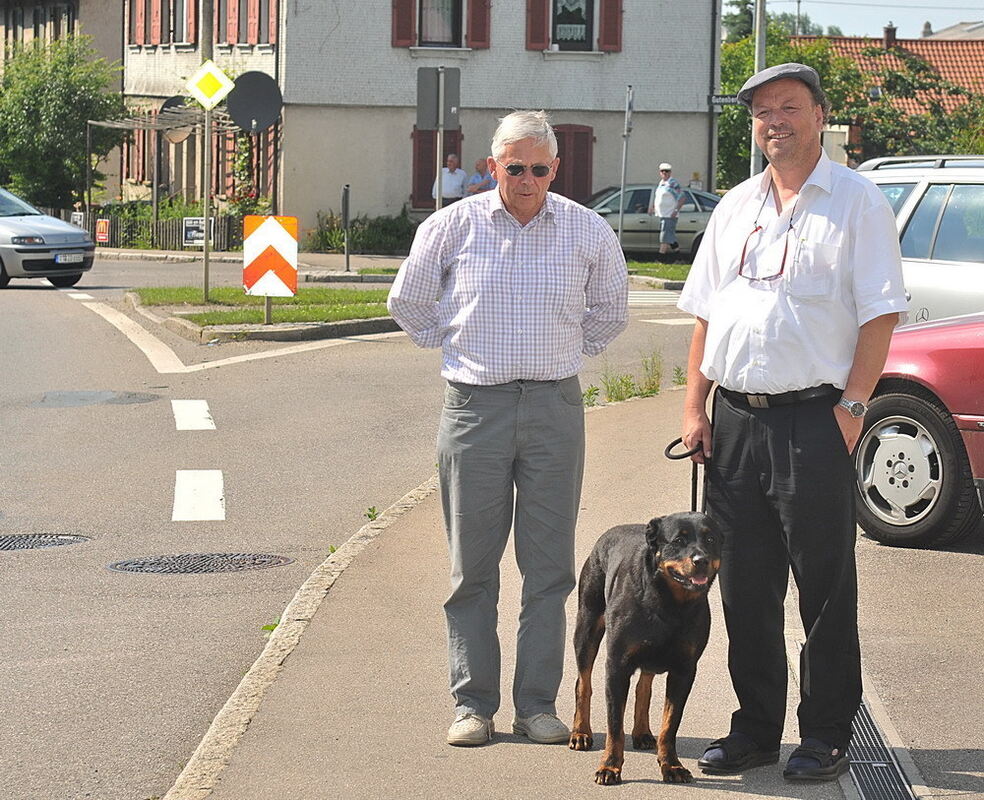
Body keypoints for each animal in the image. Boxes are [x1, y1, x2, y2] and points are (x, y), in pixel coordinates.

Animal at [568, 510, 724, 784]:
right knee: (583, 683)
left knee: (644, 687)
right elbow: (615, 725)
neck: (670, 605)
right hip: (587, 625)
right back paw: (580, 733)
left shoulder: (684, 670)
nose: (701, 560)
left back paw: (641, 732)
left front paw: (671, 766)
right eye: (679, 540)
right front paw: (609, 766)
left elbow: (670, 724)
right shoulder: (617, 665)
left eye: (710, 539)